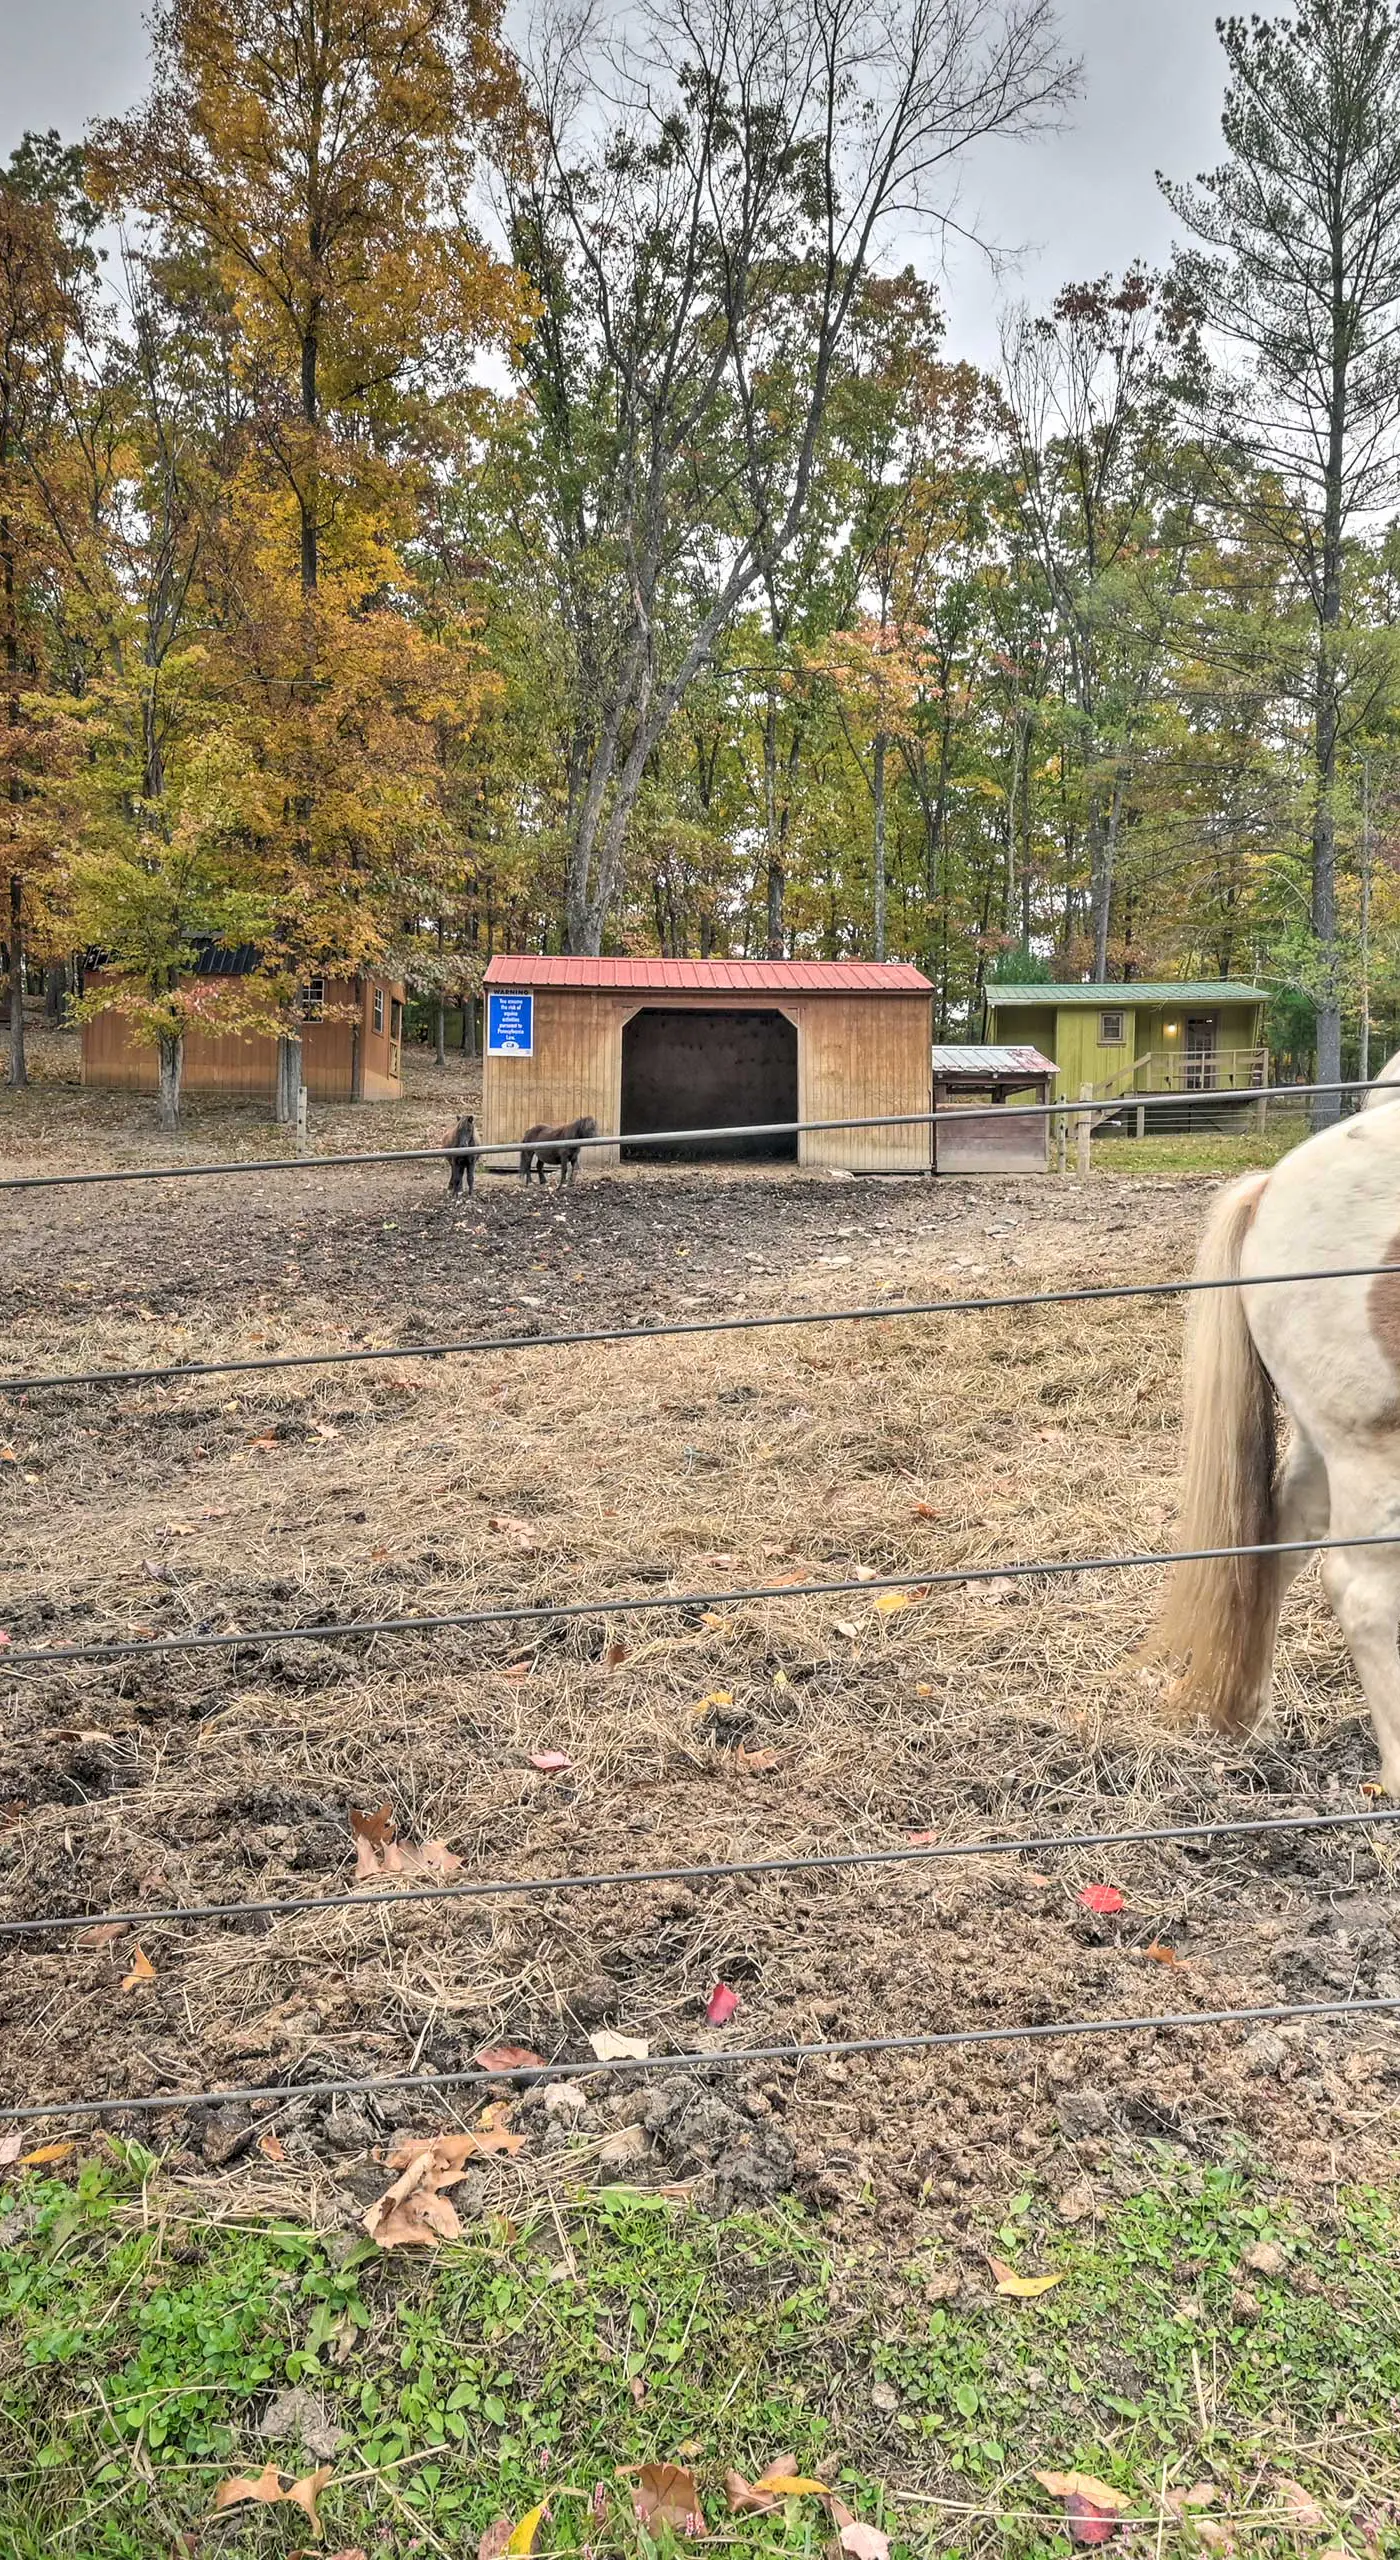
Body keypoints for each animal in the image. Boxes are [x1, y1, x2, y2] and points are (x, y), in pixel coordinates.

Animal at [1155, 1052, 1400, 1789]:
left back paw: (1249, 1720)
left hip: (1326, 1439)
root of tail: (1271, 1188)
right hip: (1369, 1443)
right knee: (1365, 1591)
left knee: (1277, 1537)